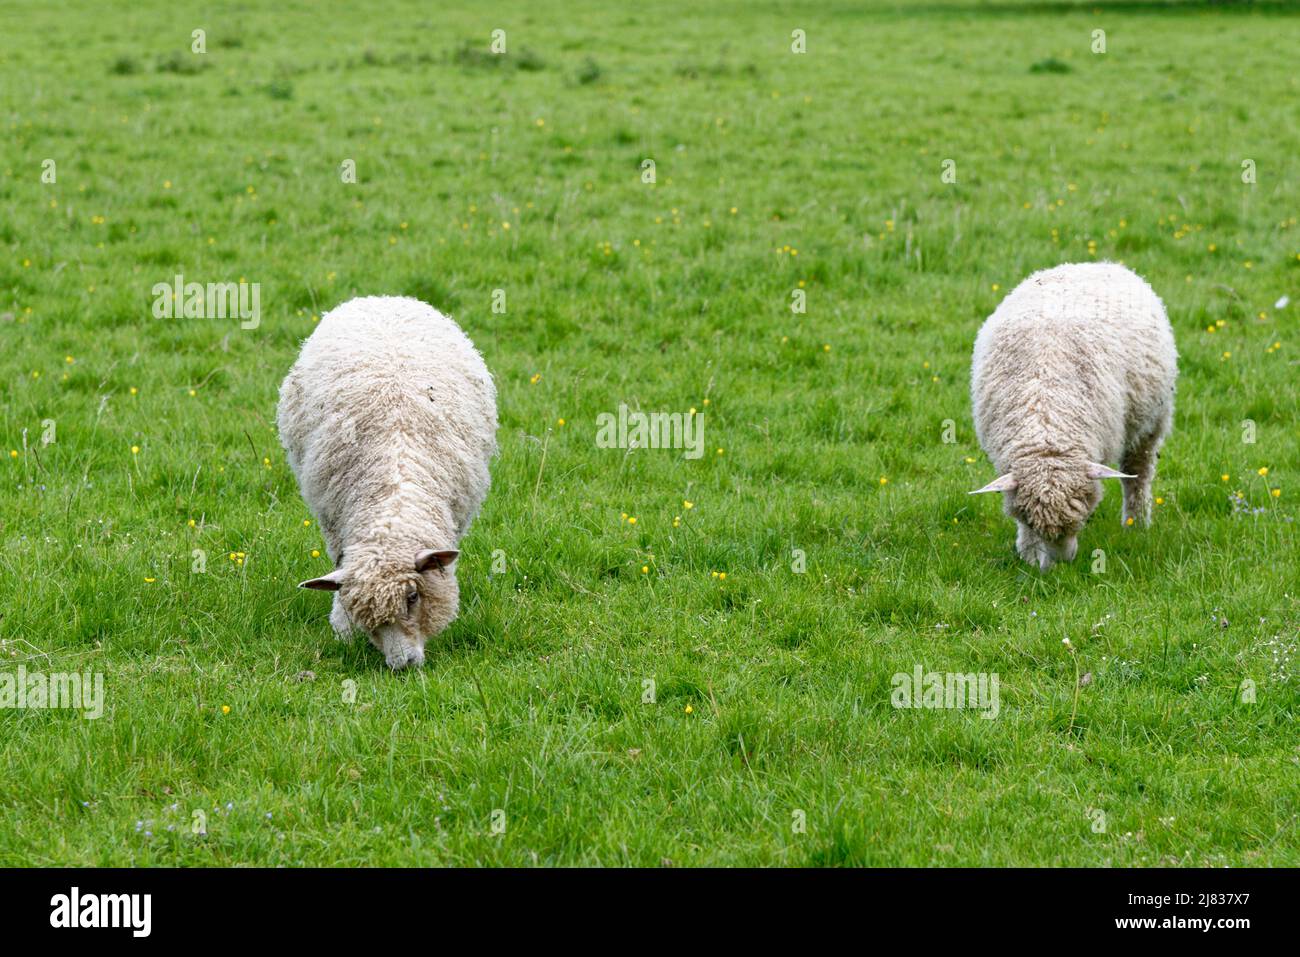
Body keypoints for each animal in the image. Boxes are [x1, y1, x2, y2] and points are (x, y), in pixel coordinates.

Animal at [275, 295, 496, 670]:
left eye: (413, 596)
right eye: (365, 616)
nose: (402, 664)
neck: (394, 487)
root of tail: (383, 299)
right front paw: (344, 629)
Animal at [967, 261, 1180, 566]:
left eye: (1081, 518)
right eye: (1030, 522)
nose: (1060, 566)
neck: (1047, 424)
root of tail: (1099, 264)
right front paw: (1029, 554)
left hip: (1151, 422)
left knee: (1137, 473)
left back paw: (1135, 523)